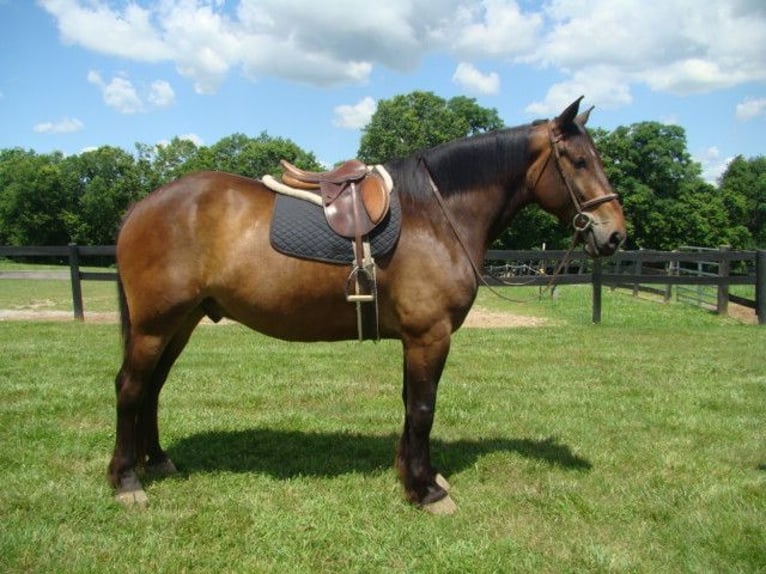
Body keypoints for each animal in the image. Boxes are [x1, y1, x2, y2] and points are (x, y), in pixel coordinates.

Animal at [108, 97, 625, 513]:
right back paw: (126, 480)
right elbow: (423, 408)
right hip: (155, 326)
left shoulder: (416, 340)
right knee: (131, 388)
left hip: (182, 322)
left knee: (153, 388)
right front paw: (426, 491)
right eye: (579, 160)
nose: (615, 233)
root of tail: (141, 206)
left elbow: (411, 405)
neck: (435, 215)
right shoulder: (429, 336)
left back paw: (158, 461)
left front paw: (414, 474)